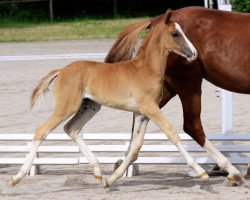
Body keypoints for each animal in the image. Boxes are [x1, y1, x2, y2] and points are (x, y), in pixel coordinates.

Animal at [9, 10, 206, 188]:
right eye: (175, 34)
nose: (194, 53)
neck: (146, 69)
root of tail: (62, 70)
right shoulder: (150, 108)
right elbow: (172, 133)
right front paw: (201, 172)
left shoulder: (143, 114)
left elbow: (135, 147)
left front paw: (111, 179)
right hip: (67, 107)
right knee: (42, 130)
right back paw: (17, 177)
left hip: (90, 107)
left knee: (71, 128)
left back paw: (98, 173)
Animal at [104, 5, 249, 186]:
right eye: (176, 34)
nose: (192, 52)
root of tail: (156, 20)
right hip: (188, 83)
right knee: (192, 126)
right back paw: (231, 170)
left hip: (164, 90)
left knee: (140, 118)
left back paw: (122, 168)